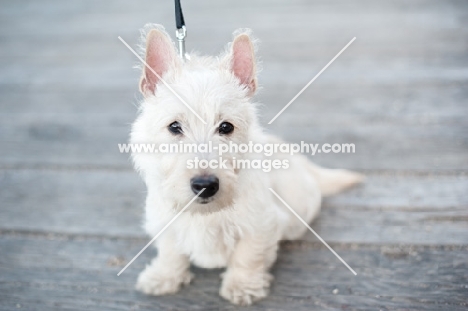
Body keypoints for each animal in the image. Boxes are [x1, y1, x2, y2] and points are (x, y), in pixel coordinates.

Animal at [130, 25, 364, 308]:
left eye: (226, 127)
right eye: (174, 127)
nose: (205, 185)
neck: (206, 214)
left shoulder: (261, 224)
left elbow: (248, 256)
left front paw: (242, 286)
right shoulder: (162, 219)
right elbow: (170, 251)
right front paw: (163, 277)